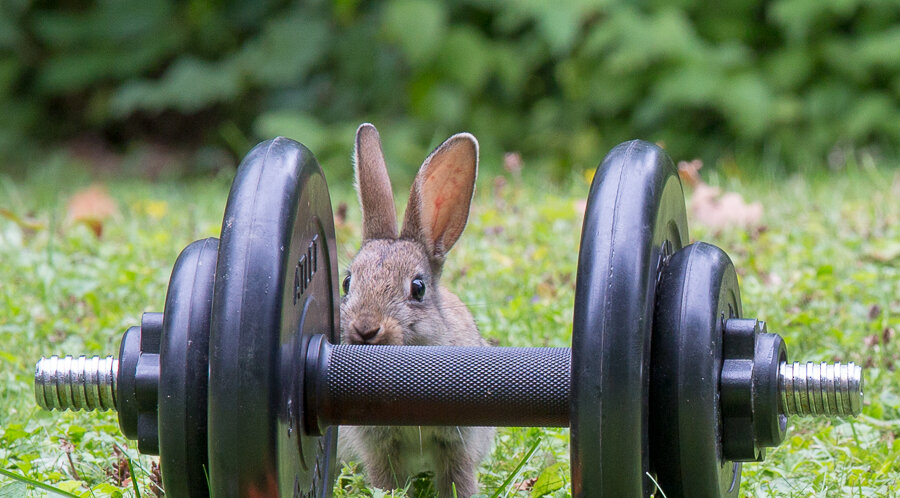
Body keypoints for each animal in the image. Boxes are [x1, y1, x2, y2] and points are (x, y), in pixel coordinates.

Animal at [340, 121, 496, 498]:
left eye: (418, 288)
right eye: (347, 283)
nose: (365, 329)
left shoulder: (456, 444)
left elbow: (458, 480)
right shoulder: (380, 447)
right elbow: (386, 482)